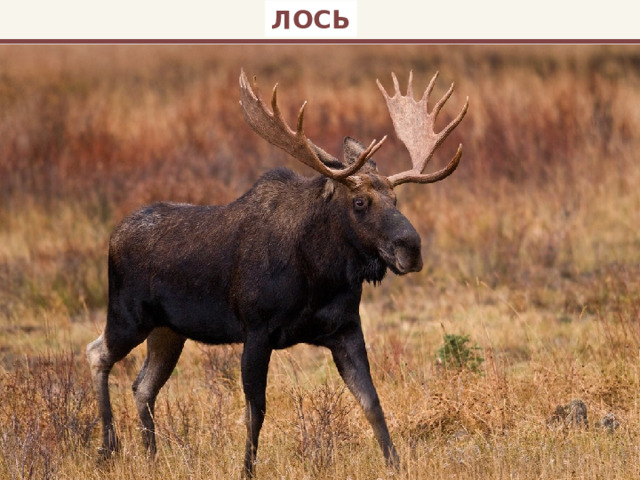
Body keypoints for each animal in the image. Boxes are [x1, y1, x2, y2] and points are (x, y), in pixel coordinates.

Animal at [86, 69, 468, 477]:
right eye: (360, 202)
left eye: (396, 199)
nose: (411, 248)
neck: (320, 275)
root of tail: (114, 236)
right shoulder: (257, 330)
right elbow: (256, 411)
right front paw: (246, 469)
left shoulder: (346, 328)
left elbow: (372, 402)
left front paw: (395, 464)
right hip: (127, 316)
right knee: (97, 354)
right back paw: (108, 447)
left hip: (169, 331)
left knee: (143, 386)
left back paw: (152, 457)